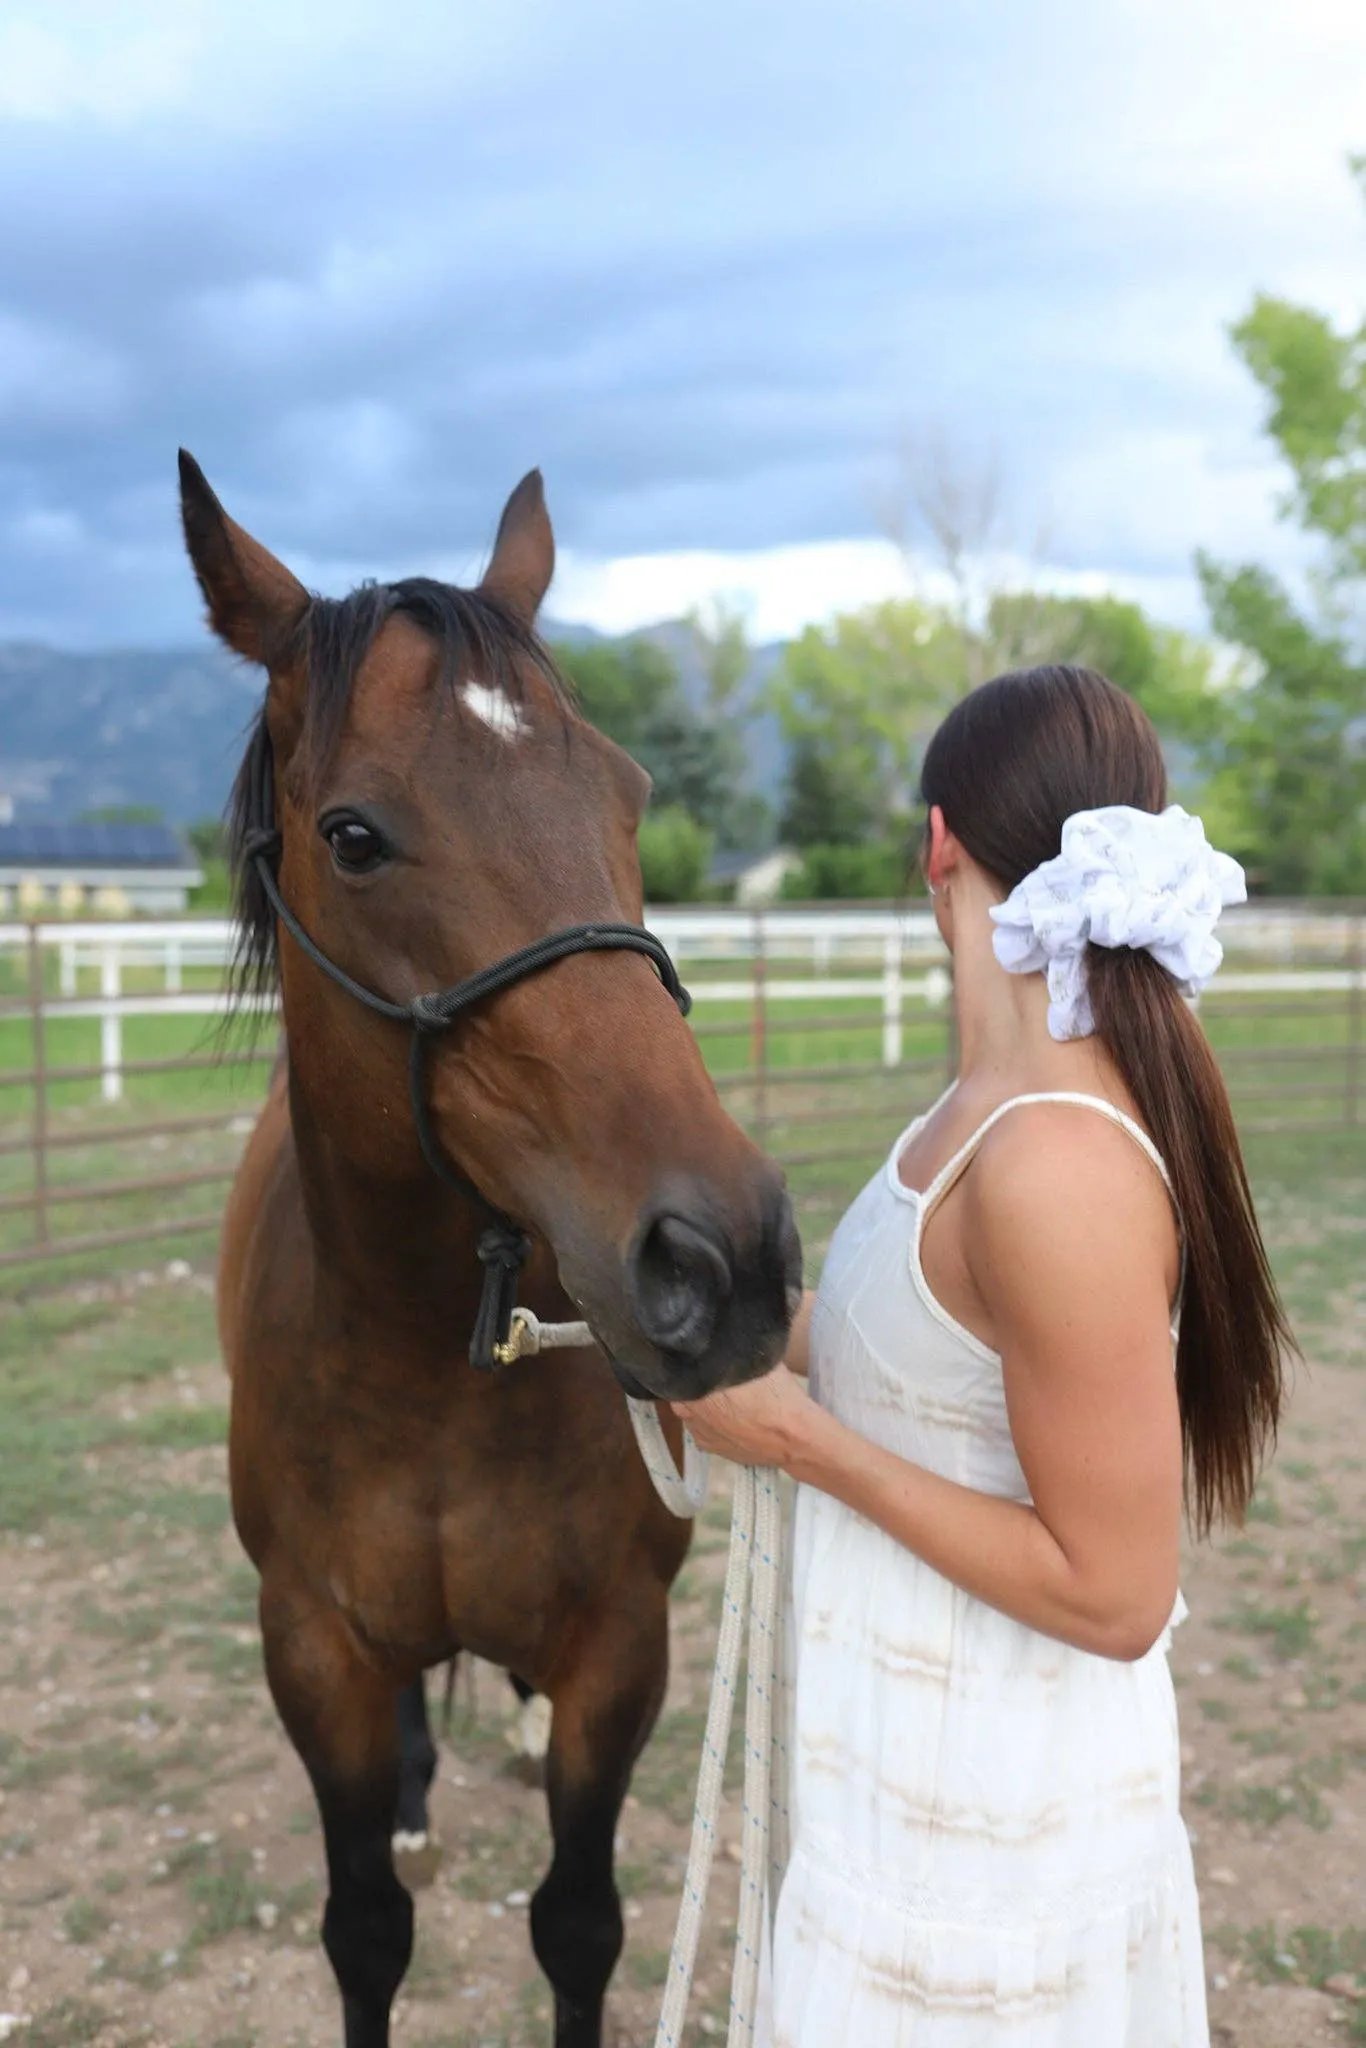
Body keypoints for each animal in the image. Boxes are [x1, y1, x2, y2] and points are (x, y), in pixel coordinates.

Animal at [180, 460, 802, 2048]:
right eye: (352, 834)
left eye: (627, 795)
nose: (723, 1257)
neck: (424, 1364)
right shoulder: (314, 1654)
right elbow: (363, 1931)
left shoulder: (618, 1652)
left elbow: (578, 1923)